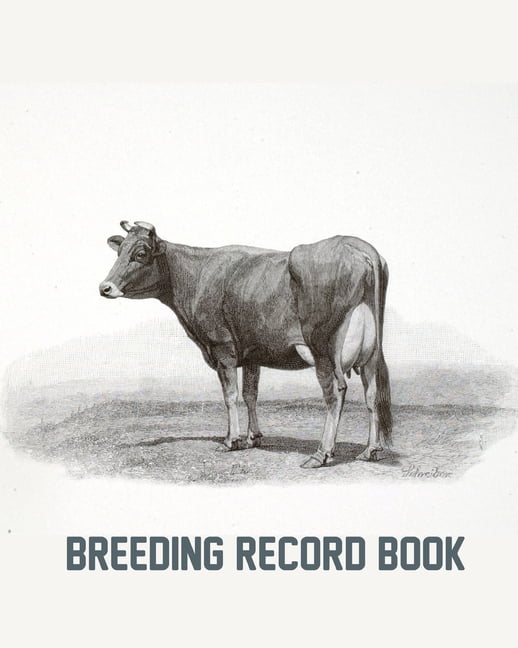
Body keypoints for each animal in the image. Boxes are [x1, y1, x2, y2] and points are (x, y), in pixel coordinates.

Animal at [99, 221, 392, 468]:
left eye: (140, 253)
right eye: (120, 251)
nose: (105, 287)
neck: (195, 274)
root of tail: (355, 244)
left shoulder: (222, 348)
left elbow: (230, 395)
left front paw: (231, 440)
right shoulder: (253, 353)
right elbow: (251, 394)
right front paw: (253, 437)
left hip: (323, 350)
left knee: (335, 393)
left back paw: (321, 454)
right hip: (371, 354)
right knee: (372, 392)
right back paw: (371, 450)